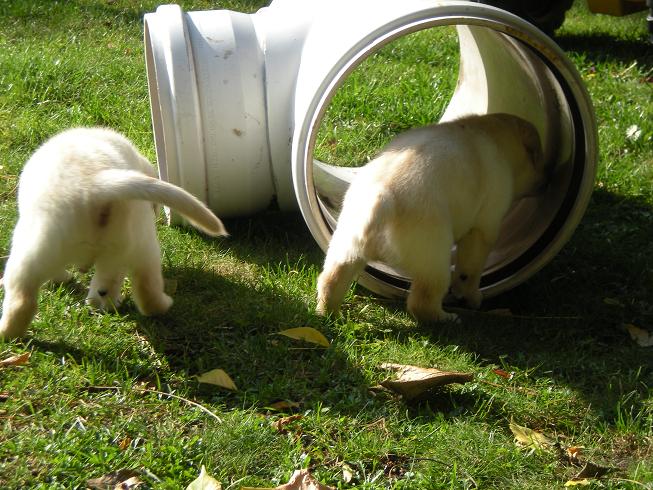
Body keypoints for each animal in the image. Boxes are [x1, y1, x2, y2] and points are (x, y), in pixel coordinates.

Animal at [0, 127, 227, 339]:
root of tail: (94, 185)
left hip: (38, 248)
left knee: (23, 299)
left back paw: (8, 333)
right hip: (134, 245)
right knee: (142, 290)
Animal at [316, 113, 545, 323]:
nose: (547, 177)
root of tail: (382, 199)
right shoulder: (483, 228)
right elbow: (470, 271)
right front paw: (472, 298)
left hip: (345, 248)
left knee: (330, 282)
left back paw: (329, 314)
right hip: (434, 258)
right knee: (422, 302)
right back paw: (447, 318)